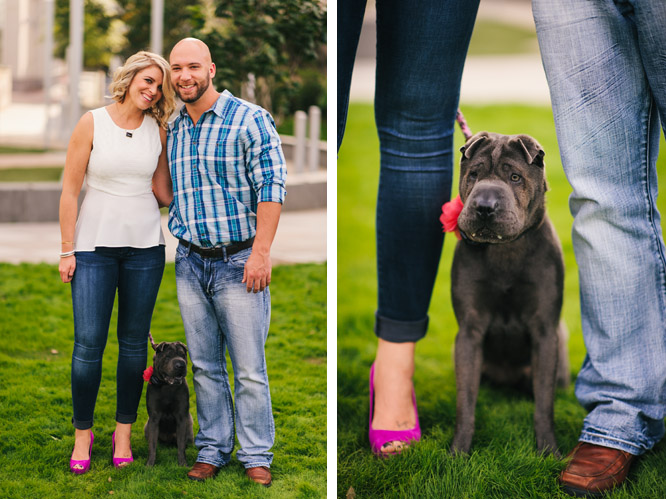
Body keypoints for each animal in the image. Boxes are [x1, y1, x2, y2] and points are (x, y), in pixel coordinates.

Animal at [144, 334, 193, 466]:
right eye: (168, 356)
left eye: (183, 355)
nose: (181, 365)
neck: (167, 386)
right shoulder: (154, 418)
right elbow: (152, 445)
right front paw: (150, 464)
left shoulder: (182, 418)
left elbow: (181, 445)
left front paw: (183, 464)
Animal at [446, 132, 564, 458]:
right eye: (474, 174)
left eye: (515, 177)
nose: (485, 206)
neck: (505, 250)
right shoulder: (469, 332)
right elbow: (464, 402)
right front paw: (458, 452)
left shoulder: (545, 331)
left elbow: (544, 403)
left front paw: (549, 452)